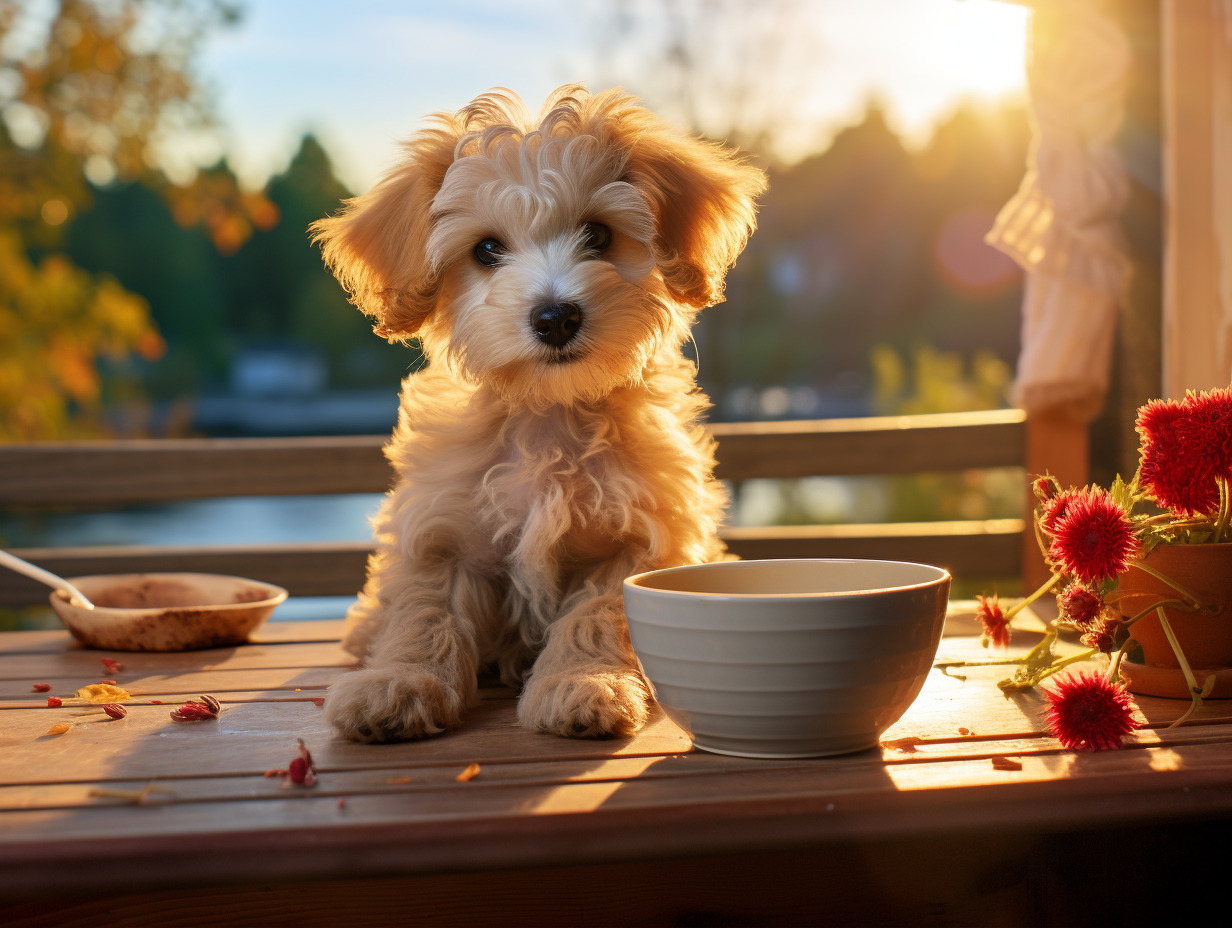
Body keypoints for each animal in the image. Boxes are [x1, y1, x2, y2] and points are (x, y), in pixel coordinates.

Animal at [312, 83, 763, 744]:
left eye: (597, 235)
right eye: (487, 249)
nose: (555, 317)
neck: (546, 412)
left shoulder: (640, 535)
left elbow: (597, 614)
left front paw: (581, 685)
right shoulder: (442, 529)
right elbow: (423, 612)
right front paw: (399, 683)